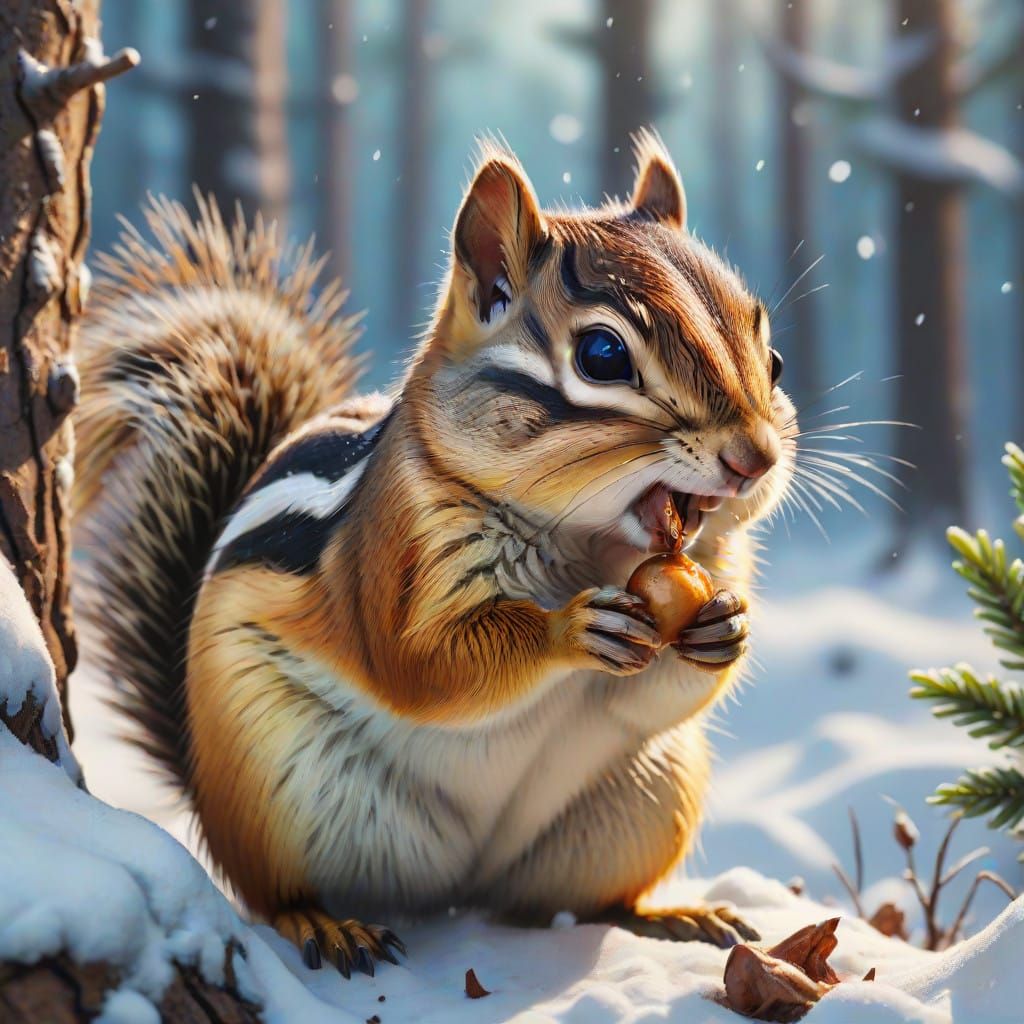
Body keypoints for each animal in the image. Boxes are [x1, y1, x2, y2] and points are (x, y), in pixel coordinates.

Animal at [75, 130, 795, 976]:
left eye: (773, 361)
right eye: (603, 355)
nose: (755, 458)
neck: (586, 543)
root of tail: (458, 886)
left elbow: (648, 695)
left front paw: (723, 628)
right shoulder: (394, 559)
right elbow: (420, 663)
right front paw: (569, 629)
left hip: (644, 801)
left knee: (577, 901)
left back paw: (673, 916)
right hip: (268, 785)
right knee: (270, 893)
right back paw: (324, 924)